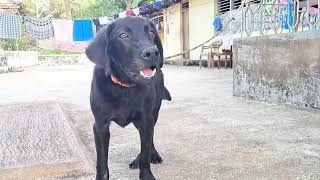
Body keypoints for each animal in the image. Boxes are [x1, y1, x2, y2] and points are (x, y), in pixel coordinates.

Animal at [84, 16, 170, 179]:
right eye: (123, 35)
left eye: (151, 32)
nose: (153, 52)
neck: (124, 87)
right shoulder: (100, 125)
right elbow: (102, 163)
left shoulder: (145, 120)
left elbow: (145, 154)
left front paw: (146, 174)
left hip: (153, 113)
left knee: (150, 139)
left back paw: (151, 154)